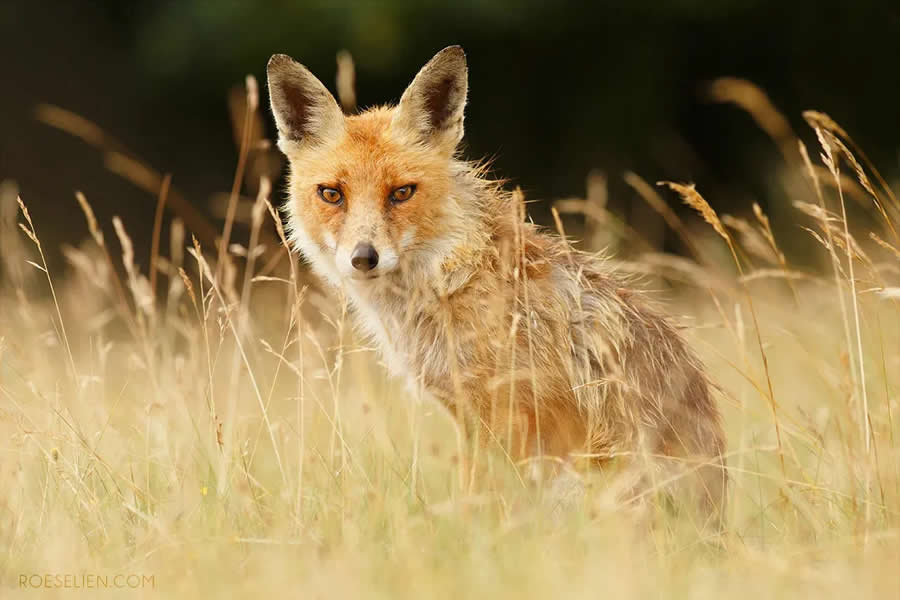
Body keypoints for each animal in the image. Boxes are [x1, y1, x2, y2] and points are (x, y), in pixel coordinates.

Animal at [266, 46, 726, 523]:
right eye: (332, 194)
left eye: (402, 192)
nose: (363, 257)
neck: (451, 275)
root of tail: (717, 520)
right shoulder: (467, 414)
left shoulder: (504, 415)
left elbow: (480, 505)